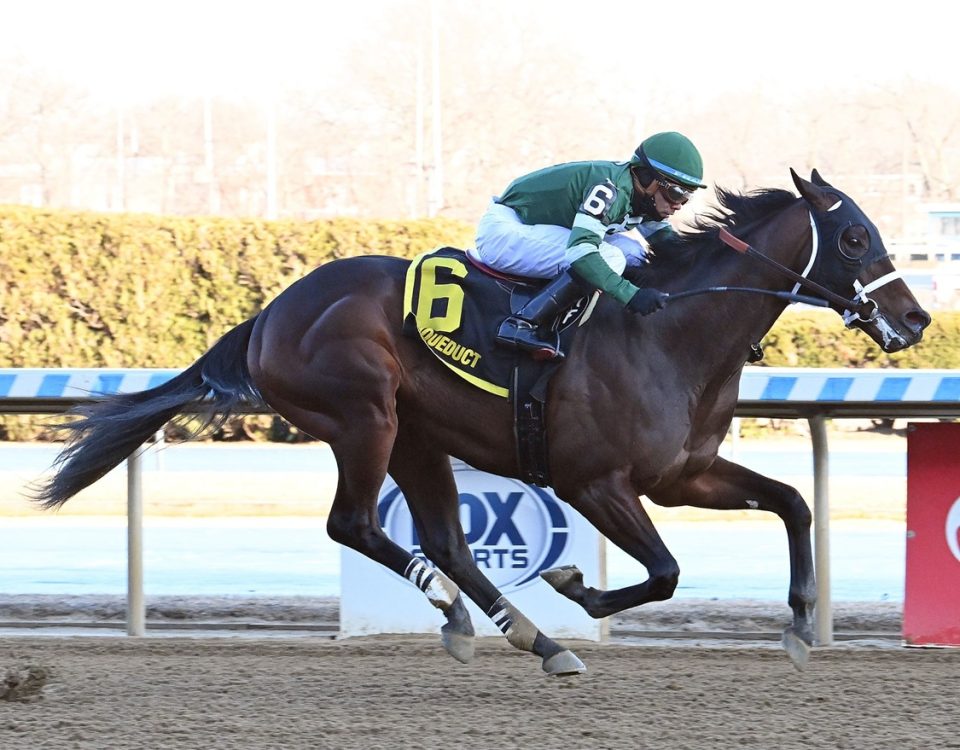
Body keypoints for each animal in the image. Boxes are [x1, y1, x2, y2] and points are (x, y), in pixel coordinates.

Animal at [35, 170, 928, 676]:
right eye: (855, 236)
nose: (916, 319)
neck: (668, 328)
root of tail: (268, 315)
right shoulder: (596, 482)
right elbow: (667, 571)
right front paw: (576, 587)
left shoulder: (682, 473)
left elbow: (793, 504)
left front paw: (800, 625)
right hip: (365, 418)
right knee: (357, 525)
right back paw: (472, 612)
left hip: (420, 439)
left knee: (448, 543)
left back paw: (528, 638)